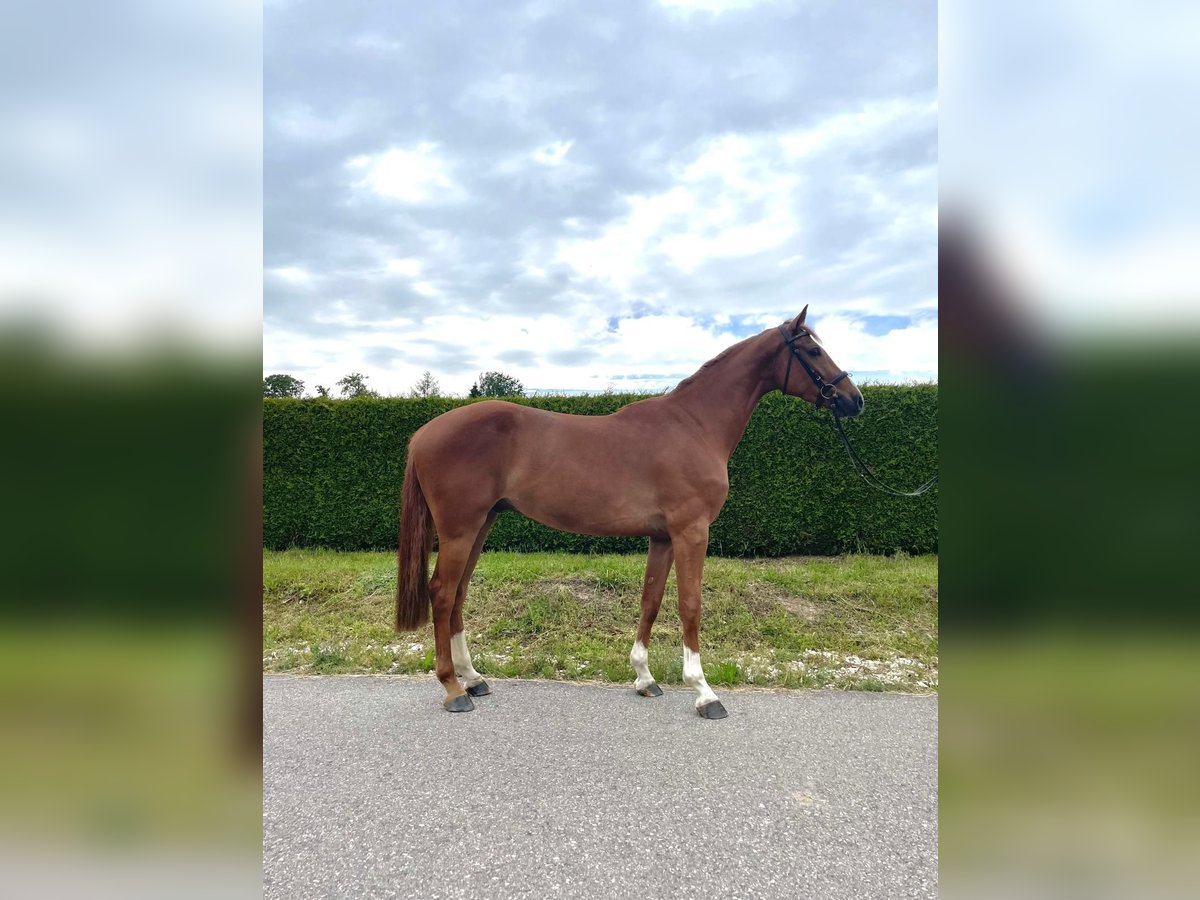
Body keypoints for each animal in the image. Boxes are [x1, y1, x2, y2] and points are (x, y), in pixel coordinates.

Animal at [400, 309, 864, 720]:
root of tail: (422, 433)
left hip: (481, 524)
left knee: (459, 593)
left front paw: (644, 677)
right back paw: (454, 689)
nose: (854, 400)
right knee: (442, 592)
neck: (695, 425)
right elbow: (690, 604)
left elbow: (651, 600)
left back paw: (474, 677)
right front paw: (704, 691)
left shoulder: (662, 537)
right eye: (813, 351)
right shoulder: (691, 532)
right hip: (461, 529)